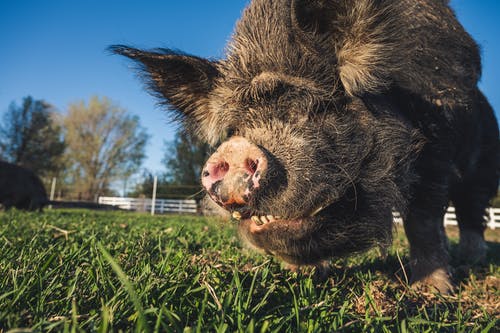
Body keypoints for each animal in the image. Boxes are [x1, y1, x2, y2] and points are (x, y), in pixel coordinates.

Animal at [111, 0, 498, 290]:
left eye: (313, 107)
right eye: (234, 128)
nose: (235, 149)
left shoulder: (437, 150)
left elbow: (423, 219)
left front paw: (433, 291)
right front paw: (299, 275)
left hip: (484, 170)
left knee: (471, 212)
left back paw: (472, 259)